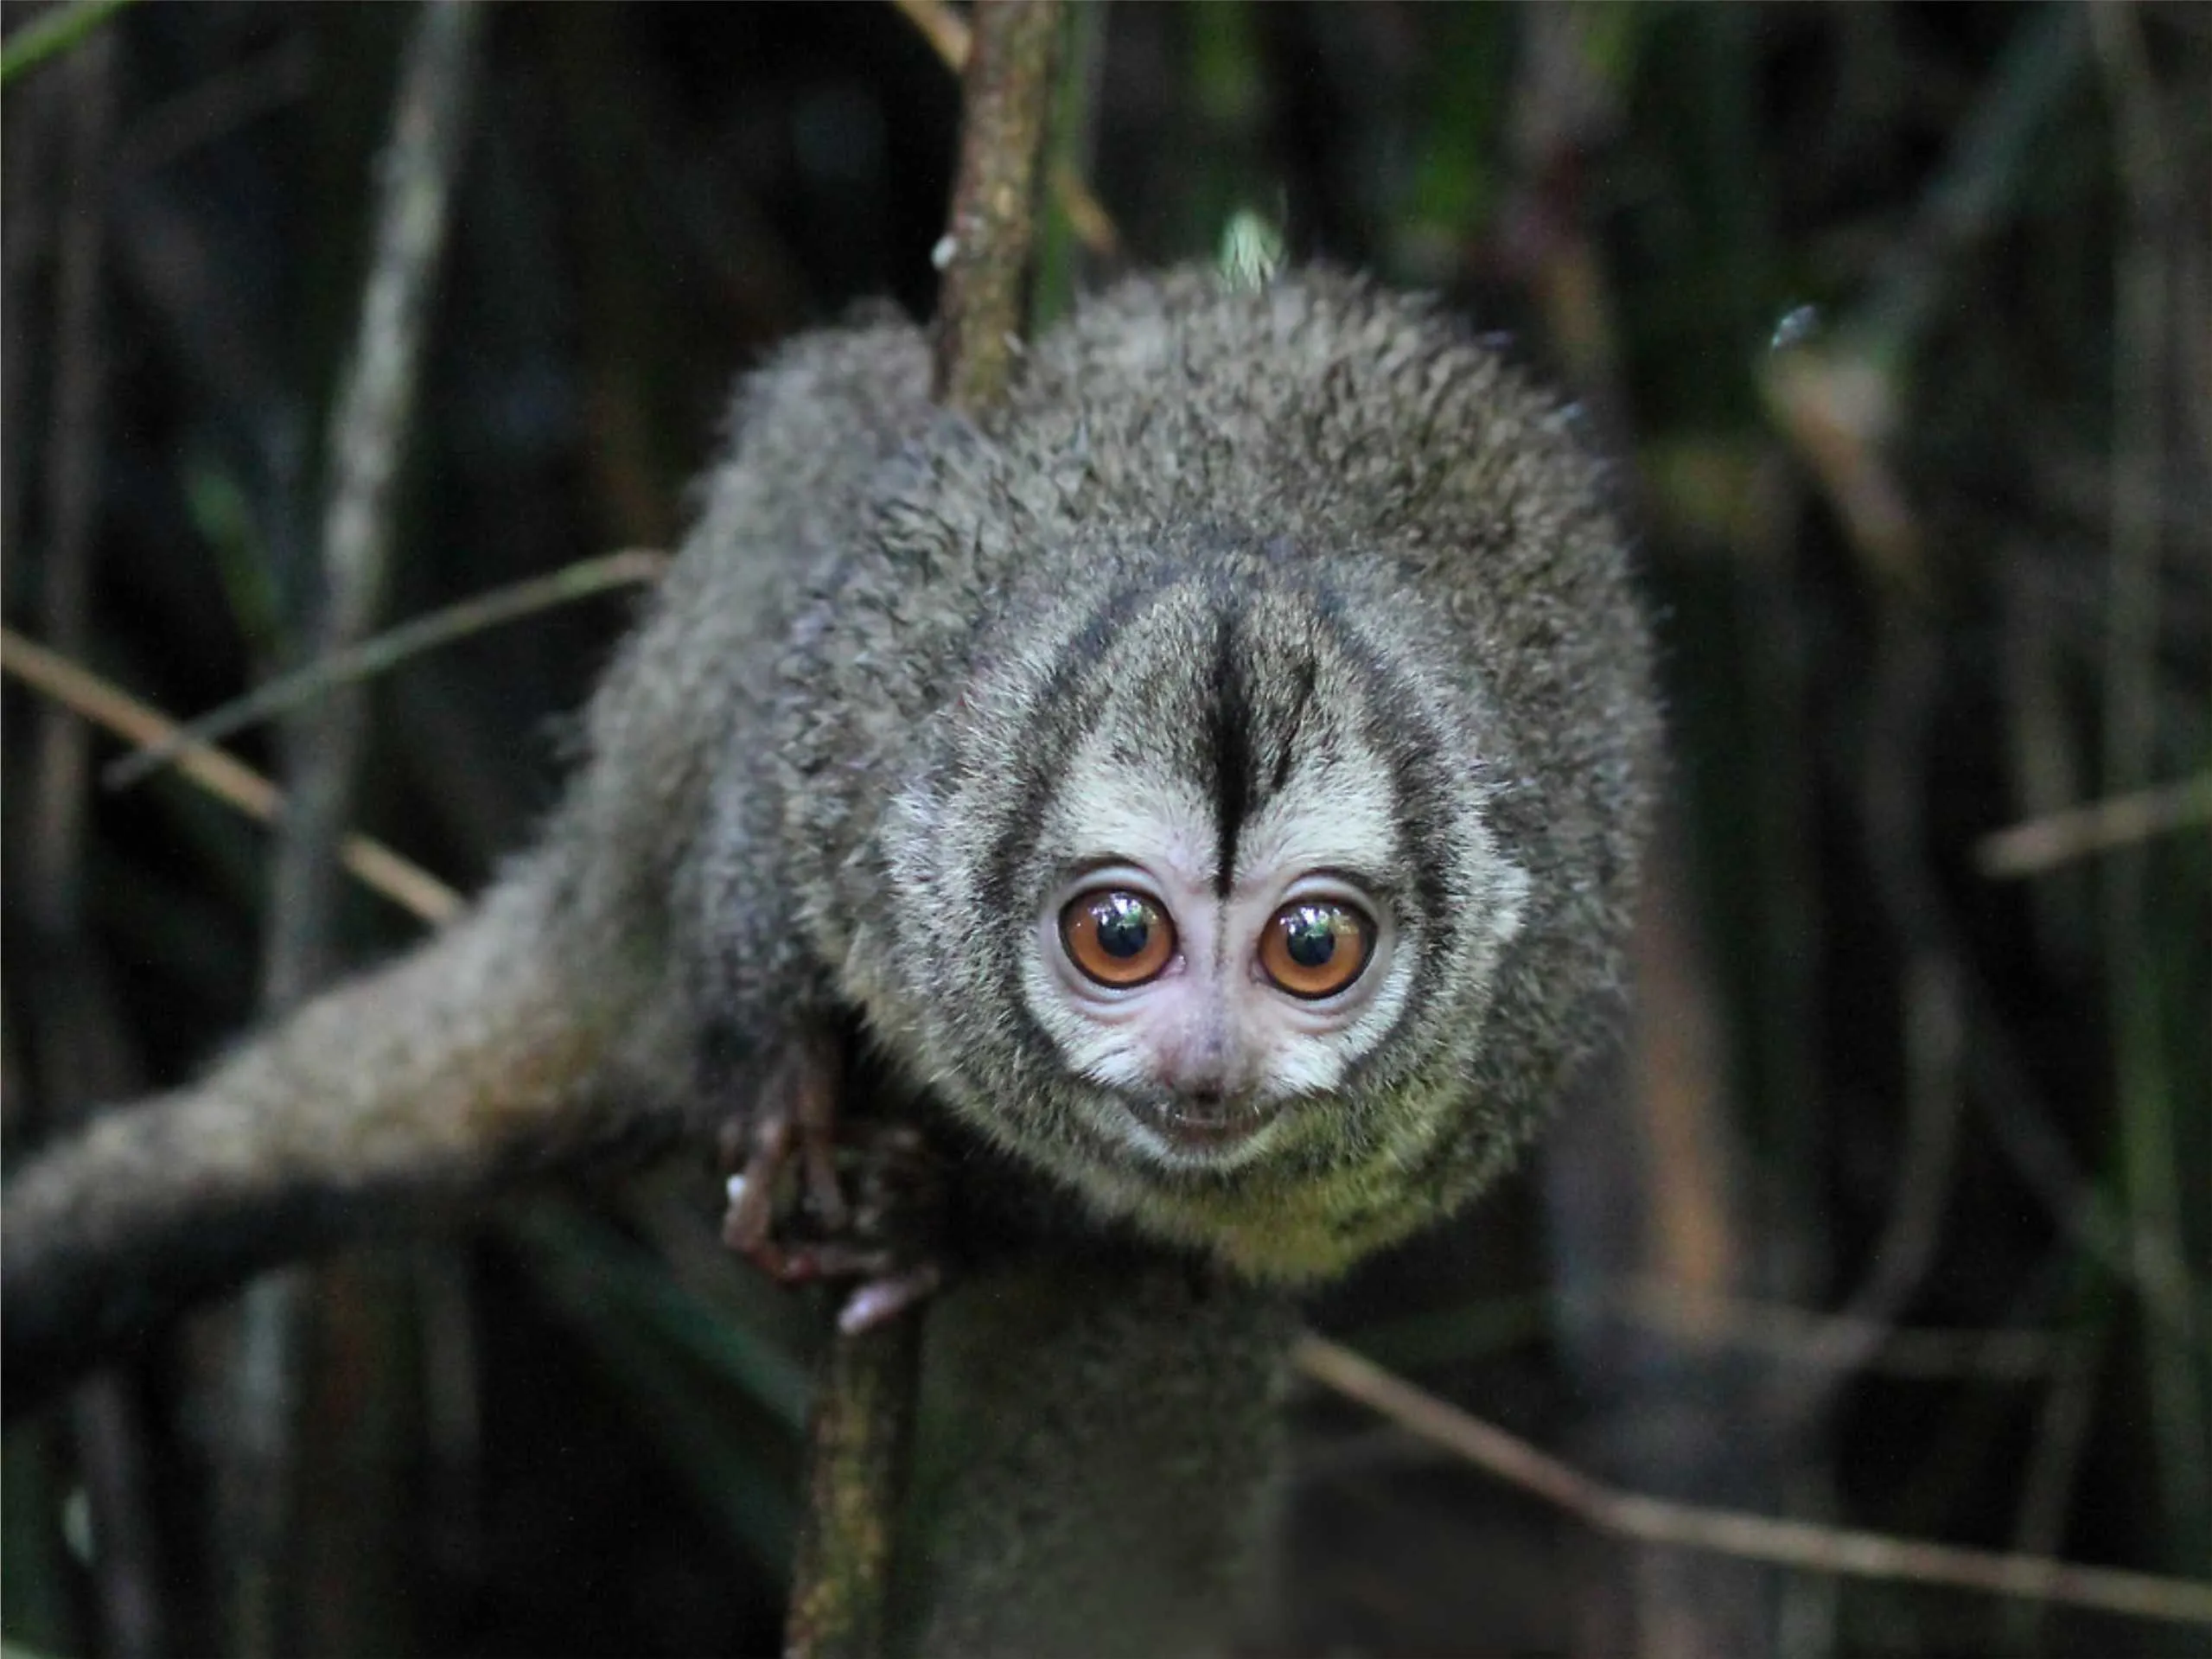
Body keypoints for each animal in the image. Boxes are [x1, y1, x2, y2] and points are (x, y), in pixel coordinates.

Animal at [2, 266, 1656, 1657]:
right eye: (1118, 935)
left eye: (1309, 947)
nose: (1203, 1064)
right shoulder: (870, 694)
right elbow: (793, 748)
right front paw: (773, 1081)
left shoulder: (1483, 1064)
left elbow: (1192, 1245)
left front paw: (946, 1222)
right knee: (844, 402)